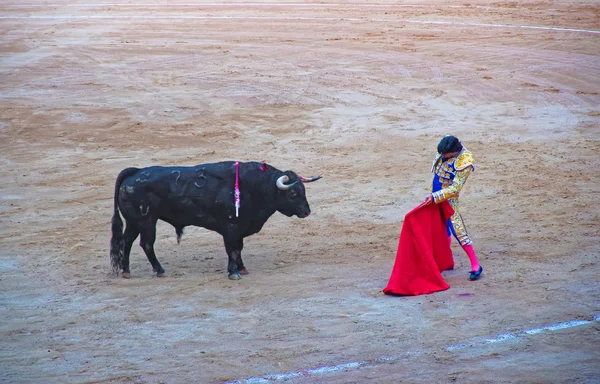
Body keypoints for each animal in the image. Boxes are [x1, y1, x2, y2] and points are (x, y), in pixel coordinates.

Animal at [109, 160, 322, 280]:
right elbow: (232, 249)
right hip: (147, 221)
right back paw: (159, 270)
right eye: (293, 193)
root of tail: (135, 172)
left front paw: (242, 268)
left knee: (127, 241)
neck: (253, 187)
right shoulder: (231, 227)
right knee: (146, 244)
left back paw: (126, 271)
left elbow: (238, 249)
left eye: (303, 190)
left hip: (134, 222)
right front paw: (233, 272)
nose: (306, 212)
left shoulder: (239, 228)